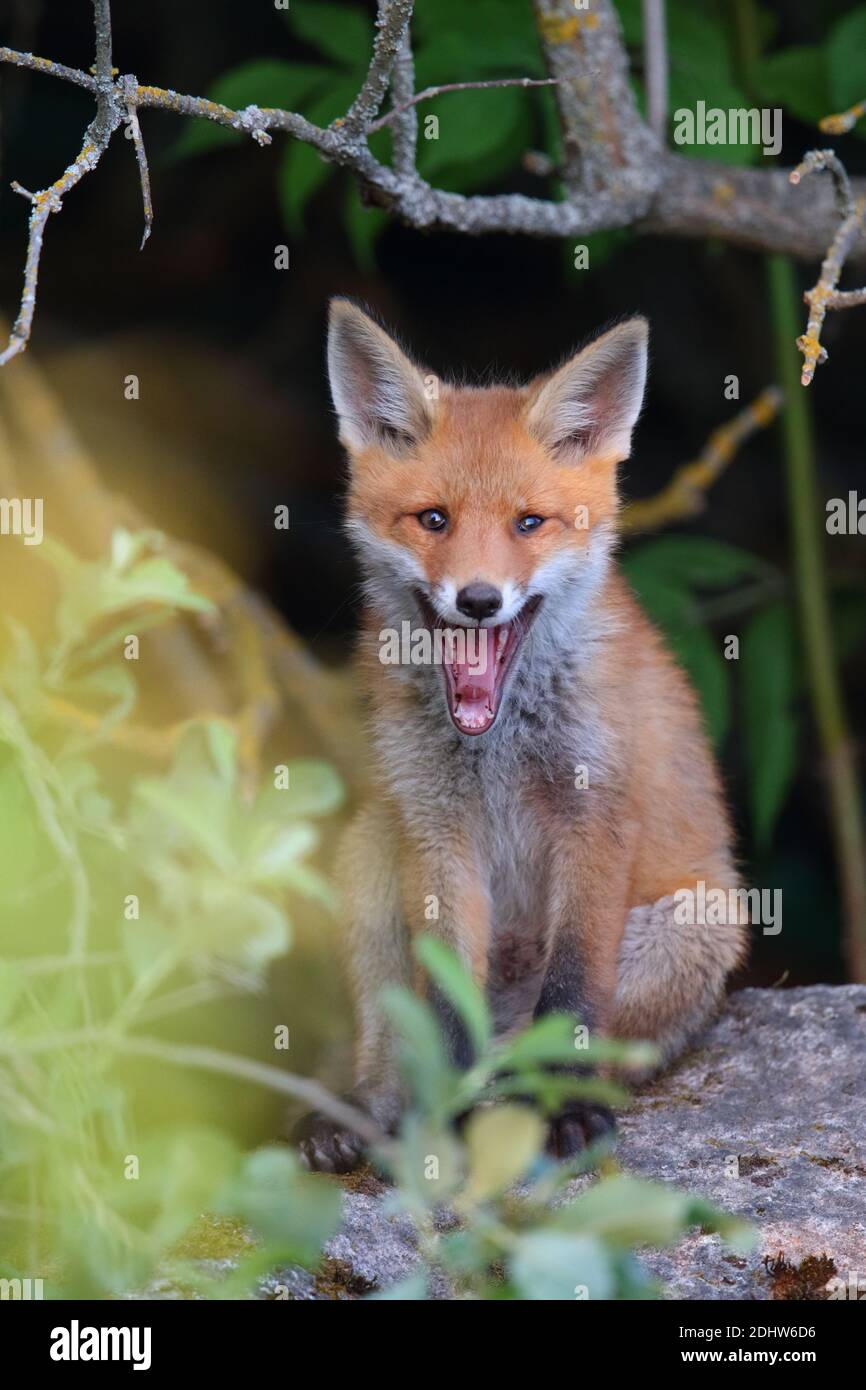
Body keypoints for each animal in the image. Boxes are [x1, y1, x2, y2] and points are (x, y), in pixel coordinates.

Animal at [294, 304, 750, 1173]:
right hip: (369, 847)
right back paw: (371, 1112)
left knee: (569, 1040)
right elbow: (443, 1004)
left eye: (528, 524)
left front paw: (565, 1110)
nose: (478, 600)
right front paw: (439, 1122)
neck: (499, 746)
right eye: (434, 520)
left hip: (697, 922)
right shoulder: (433, 824)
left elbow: (573, 992)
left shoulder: (595, 815)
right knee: (399, 1041)